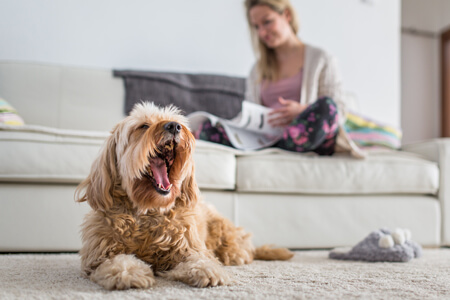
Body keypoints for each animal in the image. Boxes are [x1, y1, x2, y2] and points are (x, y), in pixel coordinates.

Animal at [75, 102, 294, 290]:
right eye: (144, 126)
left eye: (175, 121)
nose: (174, 126)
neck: (148, 210)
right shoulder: (98, 255)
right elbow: (117, 261)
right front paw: (129, 273)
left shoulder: (189, 247)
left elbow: (200, 259)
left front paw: (209, 270)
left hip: (227, 238)